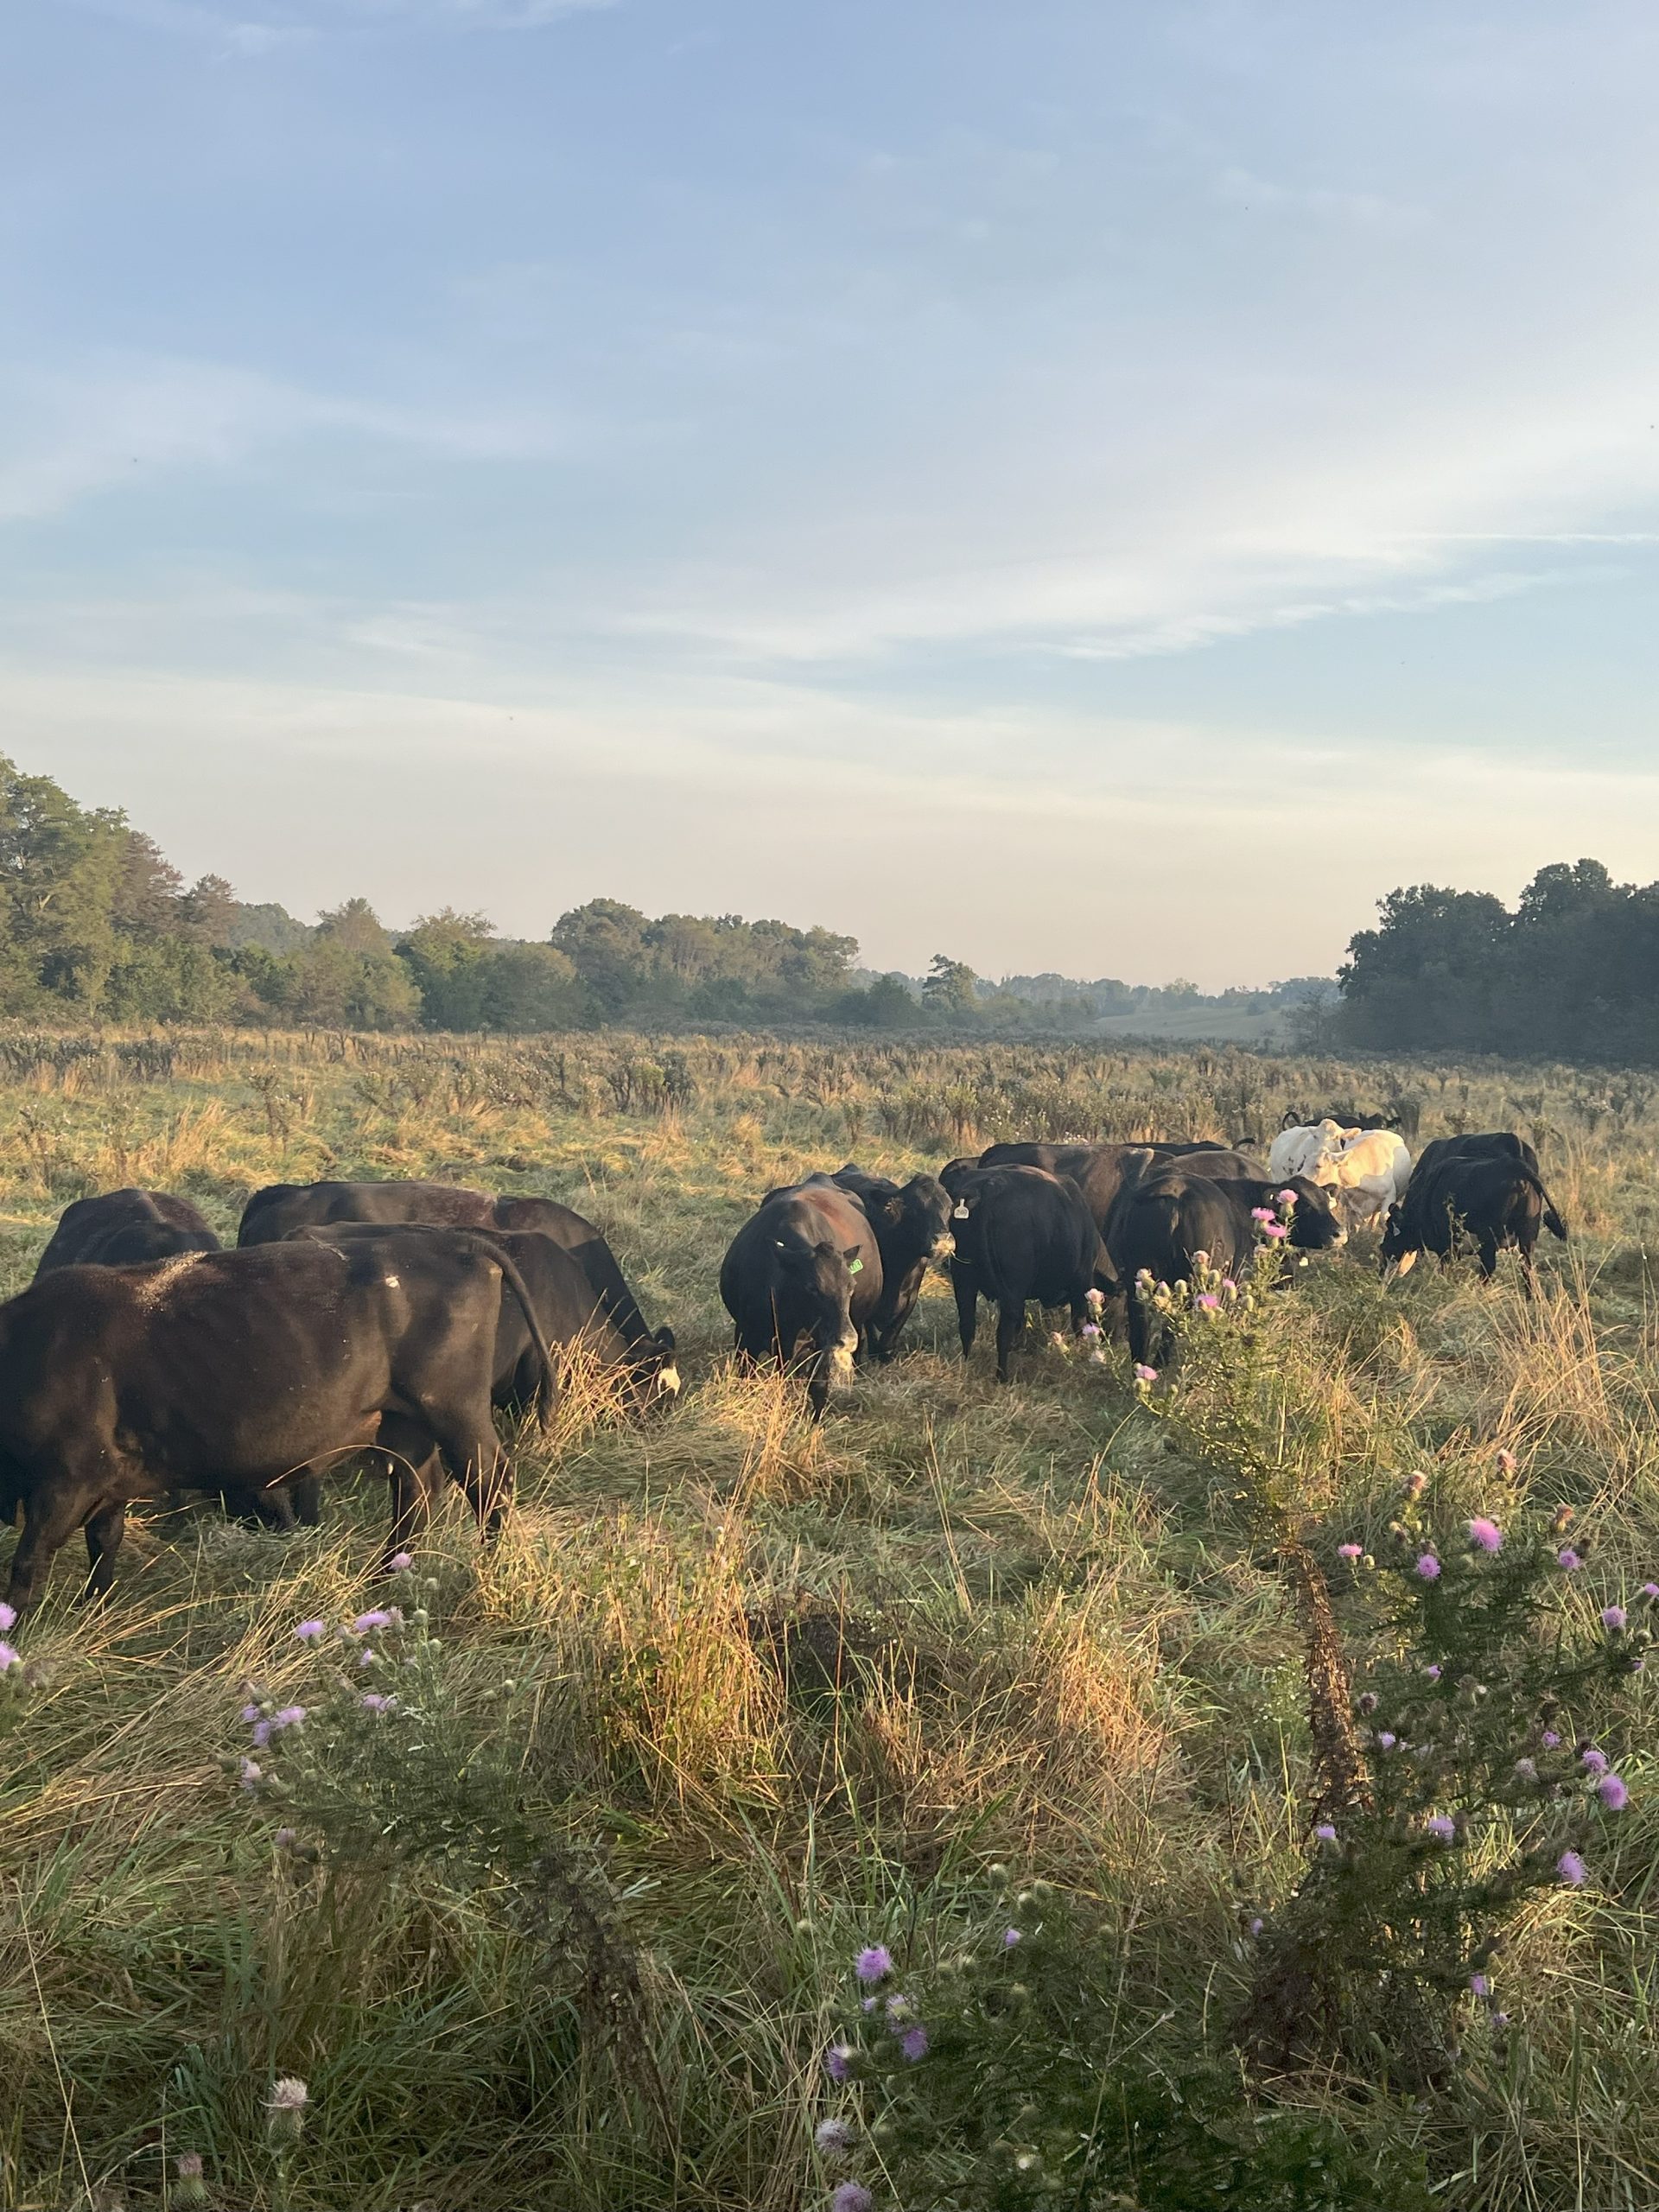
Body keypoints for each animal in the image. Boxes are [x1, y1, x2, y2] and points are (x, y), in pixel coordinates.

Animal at [0, 1235, 554, 1614]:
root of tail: (453, 1241)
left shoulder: (66, 1479)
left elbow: (29, 1561)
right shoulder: (107, 1482)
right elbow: (103, 1544)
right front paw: (92, 1609)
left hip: (455, 1414)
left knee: (489, 1485)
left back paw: (489, 1571)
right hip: (402, 1425)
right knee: (416, 1495)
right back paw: (383, 1581)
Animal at [720, 1180, 875, 1418]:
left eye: (851, 1286)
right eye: (812, 1287)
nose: (848, 1339)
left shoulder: (820, 1344)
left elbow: (818, 1385)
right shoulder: (746, 1337)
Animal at [947, 1164, 1103, 1381]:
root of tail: (987, 1188)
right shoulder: (1081, 1285)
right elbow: (1079, 1323)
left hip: (963, 1281)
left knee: (967, 1325)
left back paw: (967, 1364)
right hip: (1011, 1290)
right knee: (1003, 1333)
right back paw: (1002, 1376)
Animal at [1381, 1152, 1567, 1293]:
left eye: (1386, 1245)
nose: (1381, 1275)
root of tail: (1516, 1166)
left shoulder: (1447, 1246)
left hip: (1490, 1239)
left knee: (1489, 1268)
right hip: (1527, 1237)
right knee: (1526, 1269)